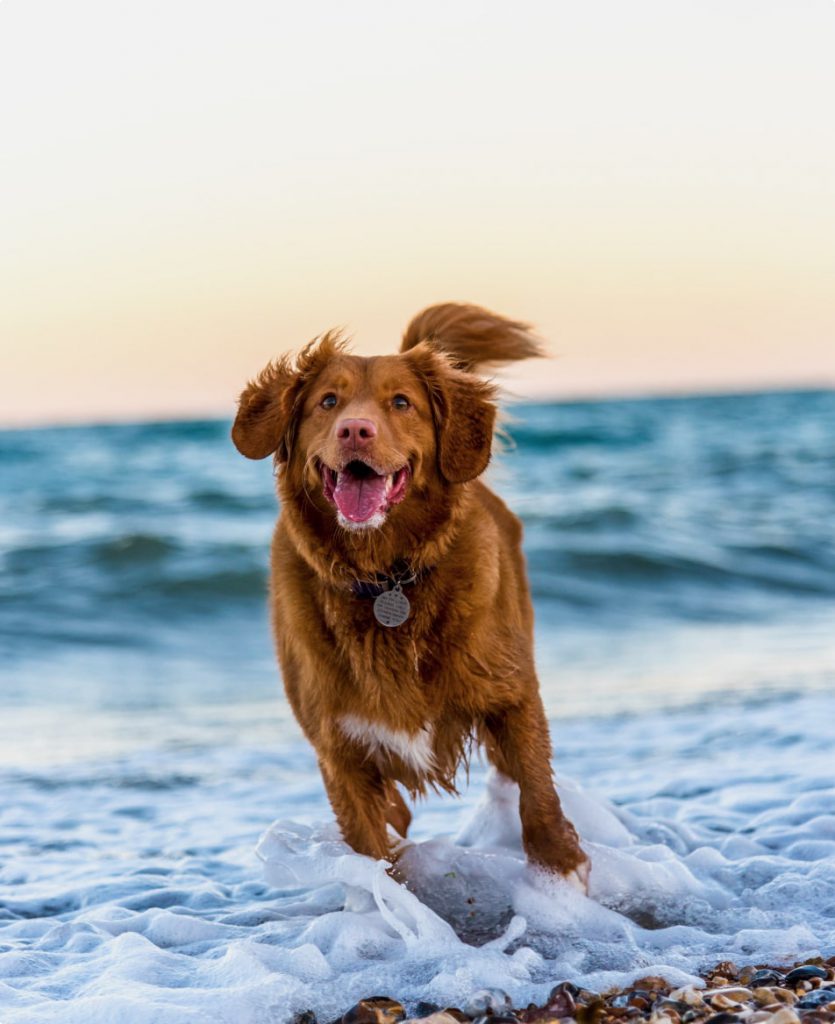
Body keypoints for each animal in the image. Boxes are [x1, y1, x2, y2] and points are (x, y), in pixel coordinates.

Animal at [231, 299, 590, 884]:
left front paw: (561, 867)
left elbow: (537, 791)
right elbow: (371, 848)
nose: (355, 430)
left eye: (401, 403)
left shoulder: (512, 694)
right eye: (328, 401)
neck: (386, 577)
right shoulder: (339, 748)